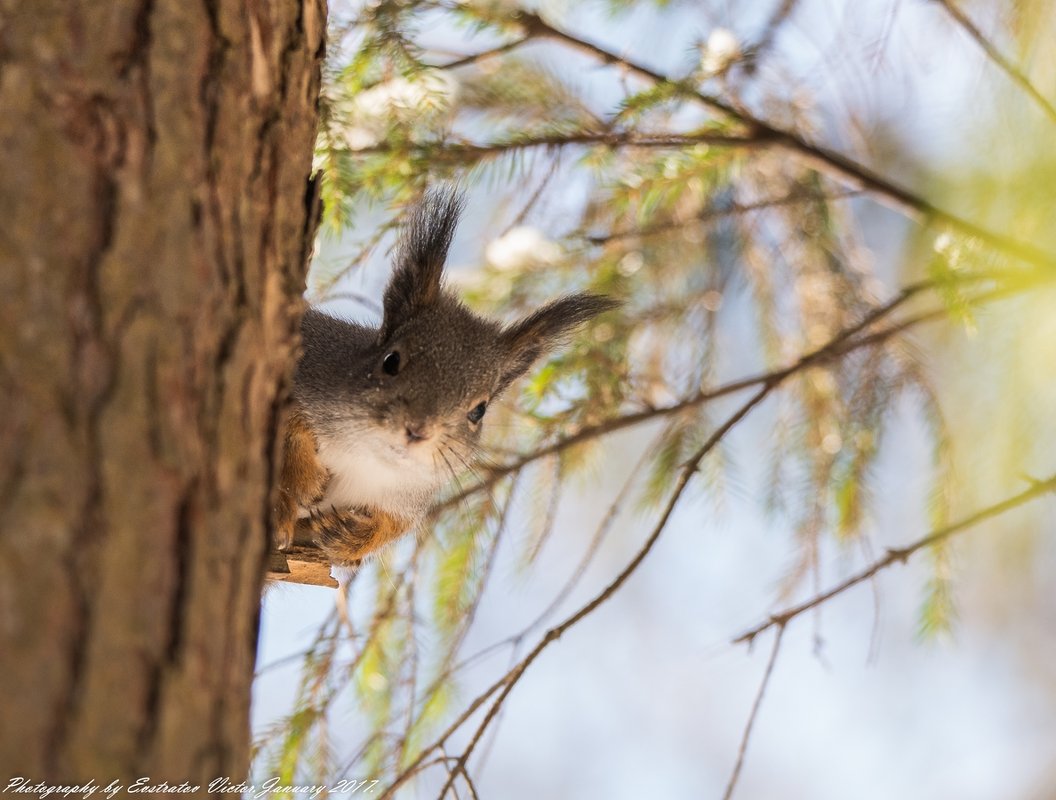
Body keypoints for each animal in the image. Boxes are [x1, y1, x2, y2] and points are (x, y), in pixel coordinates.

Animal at [276, 187, 616, 565]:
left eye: (479, 410)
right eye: (390, 361)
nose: (418, 430)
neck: (367, 458)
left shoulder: (408, 499)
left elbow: (395, 525)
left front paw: (354, 536)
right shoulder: (310, 365)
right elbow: (290, 421)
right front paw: (306, 478)